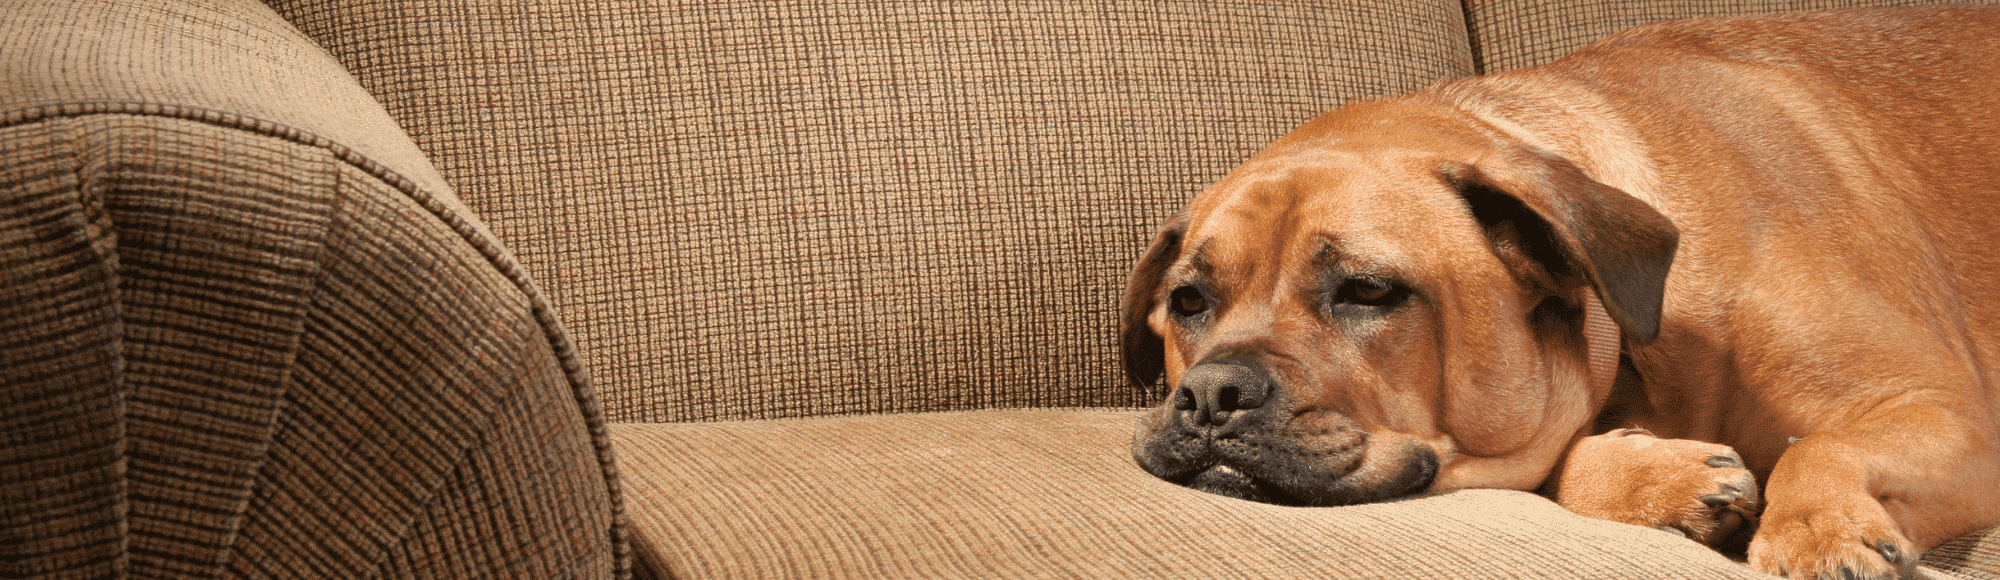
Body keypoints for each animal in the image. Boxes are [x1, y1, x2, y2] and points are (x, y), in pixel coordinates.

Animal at [1128, 6, 2000, 576]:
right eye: (1189, 302)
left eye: (1369, 291)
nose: (1210, 395)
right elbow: (1557, 465)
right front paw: (1664, 479)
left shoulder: (1949, 414)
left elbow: (1820, 444)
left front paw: (1817, 530)